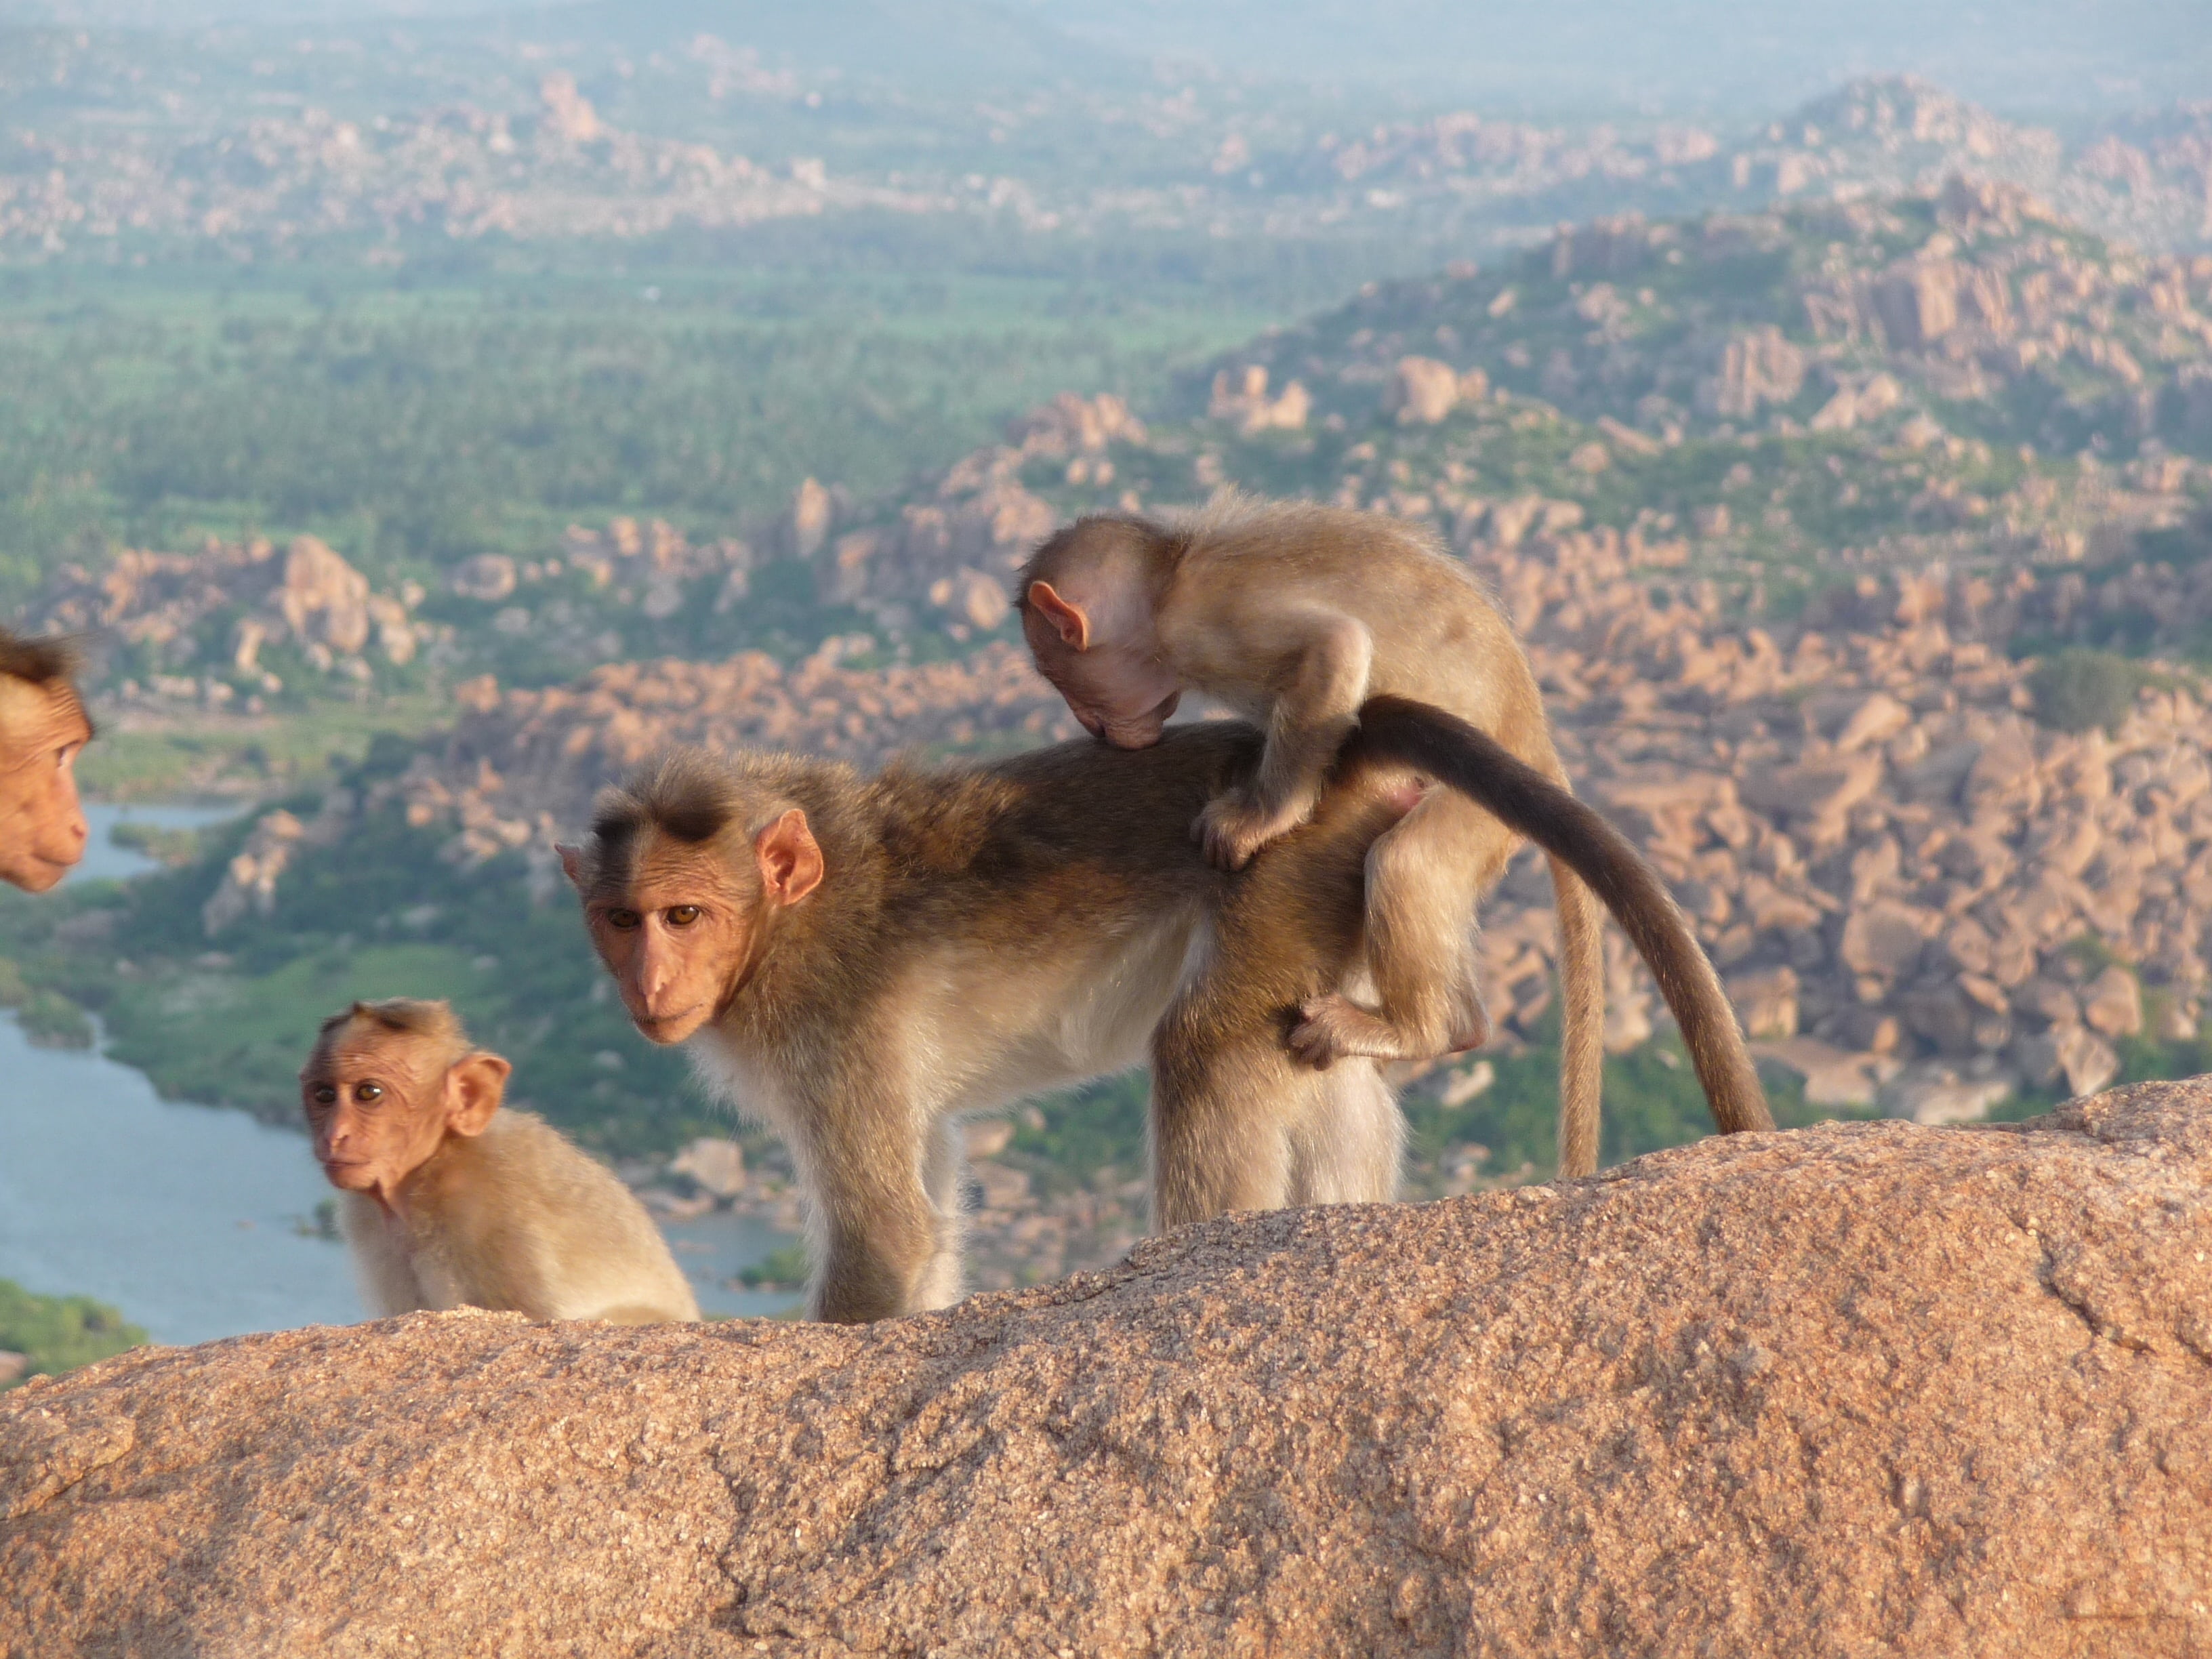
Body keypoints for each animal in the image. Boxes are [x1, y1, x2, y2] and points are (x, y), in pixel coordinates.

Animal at [560, 704, 1765, 1324]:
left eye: (685, 914)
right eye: (623, 920)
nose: (650, 983)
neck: (782, 923)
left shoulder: (825, 1026)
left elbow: (886, 1236)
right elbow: (930, 1210)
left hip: (1279, 874)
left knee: (1205, 1050)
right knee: (1313, 1076)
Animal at [1019, 493, 1611, 1176]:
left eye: (1061, 677)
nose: (1090, 725)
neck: (1166, 583)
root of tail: (1537, 744)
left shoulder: (1210, 626)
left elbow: (1335, 648)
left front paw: (1260, 817)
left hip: (1475, 814)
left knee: (1405, 862)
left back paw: (1421, 1030)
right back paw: (1460, 1026)